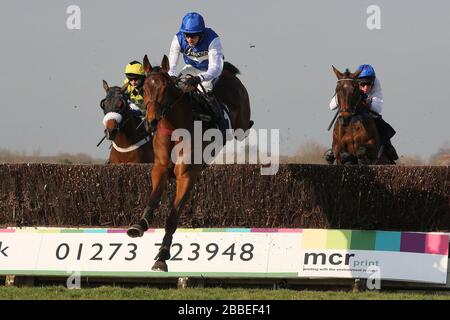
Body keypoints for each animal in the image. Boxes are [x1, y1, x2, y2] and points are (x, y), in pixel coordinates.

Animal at [126, 54, 253, 270]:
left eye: (165, 88)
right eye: (144, 90)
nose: (151, 121)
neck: (175, 128)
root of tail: (227, 72)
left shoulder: (186, 175)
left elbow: (172, 218)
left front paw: (162, 256)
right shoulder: (160, 169)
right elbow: (153, 198)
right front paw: (139, 224)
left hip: (241, 124)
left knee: (245, 126)